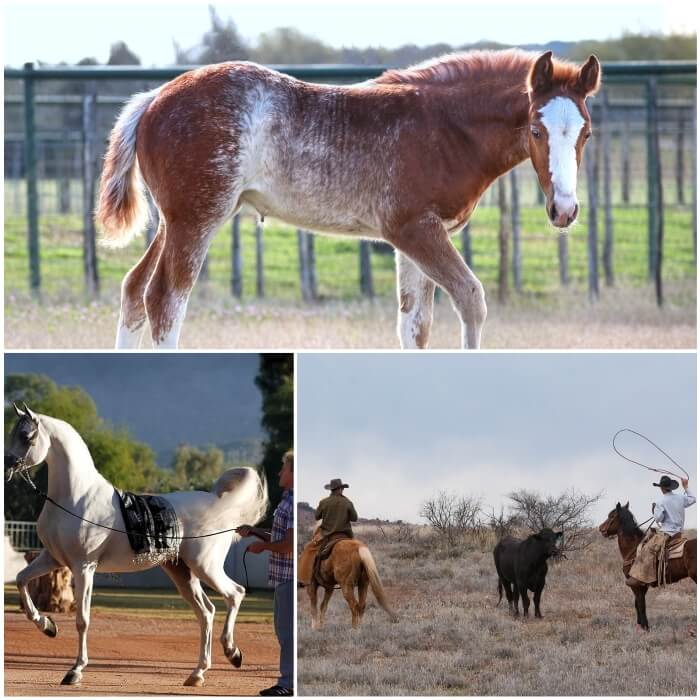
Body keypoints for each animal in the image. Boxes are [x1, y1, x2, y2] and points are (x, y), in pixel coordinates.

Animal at [4, 404, 268, 688]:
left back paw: (232, 652)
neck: (75, 498)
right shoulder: (52, 558)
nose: (6, 466)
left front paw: (75, 671)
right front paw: (48, 626)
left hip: (205, 566)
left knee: (235, 594)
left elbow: (82, 619)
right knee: (206, 612)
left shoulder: (83, 567)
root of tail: (218, 504)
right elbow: (21, 580)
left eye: (26, 436)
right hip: (182, 572)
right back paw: (197, 674)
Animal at [95, 47, 600, 348]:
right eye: (536, 130)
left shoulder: (414, 239)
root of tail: (154, 98)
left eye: (586, 133)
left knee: (134, 289)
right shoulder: (415, 230)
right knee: (165, 299)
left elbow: (414, 325)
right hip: (198, 219)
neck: (445, 126)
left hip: (172, 222)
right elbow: (472, 299)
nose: (564, 210)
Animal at [600, 500, 696, 632]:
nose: (600, 528)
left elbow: (640, 604)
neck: (633, 549)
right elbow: (638, 603)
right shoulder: (642, 585)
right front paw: (640, 625)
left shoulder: (635, 584)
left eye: (611, 516)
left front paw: (644, 627)